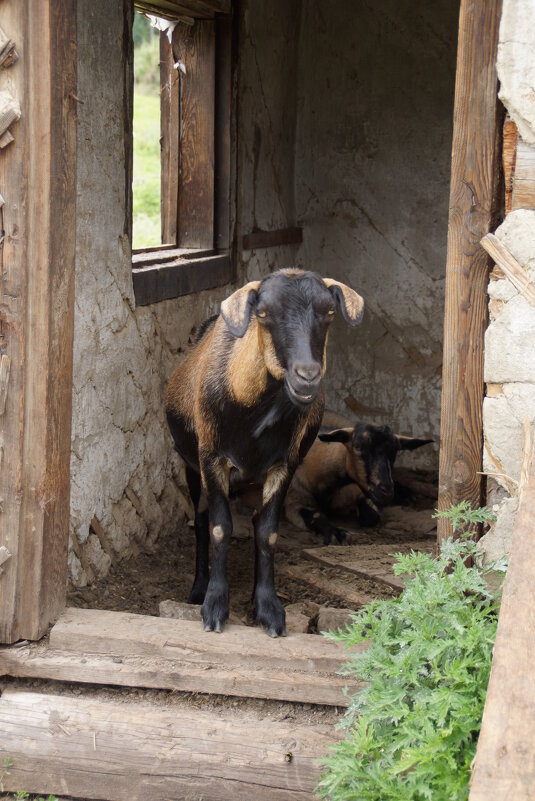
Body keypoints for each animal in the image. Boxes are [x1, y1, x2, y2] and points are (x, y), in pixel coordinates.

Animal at [164, 268, 364, 636]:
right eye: (263, 312)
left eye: (329, 311)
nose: (307, 377)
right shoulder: (212, 460)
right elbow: (218, 528)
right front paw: (214, 606)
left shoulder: (283, 466)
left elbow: (268, 534)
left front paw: (269, 610)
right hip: (192, 469)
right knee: (200, 521)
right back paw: (198, 589)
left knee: (258, 523)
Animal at [284, 412, 432, 544]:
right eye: (357, 447)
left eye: (395, 451)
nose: (386, 492)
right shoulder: (294, 501)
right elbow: (315, 516)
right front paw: (336, 533)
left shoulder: (359, 490)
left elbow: (371, 516)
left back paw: (407, 495)